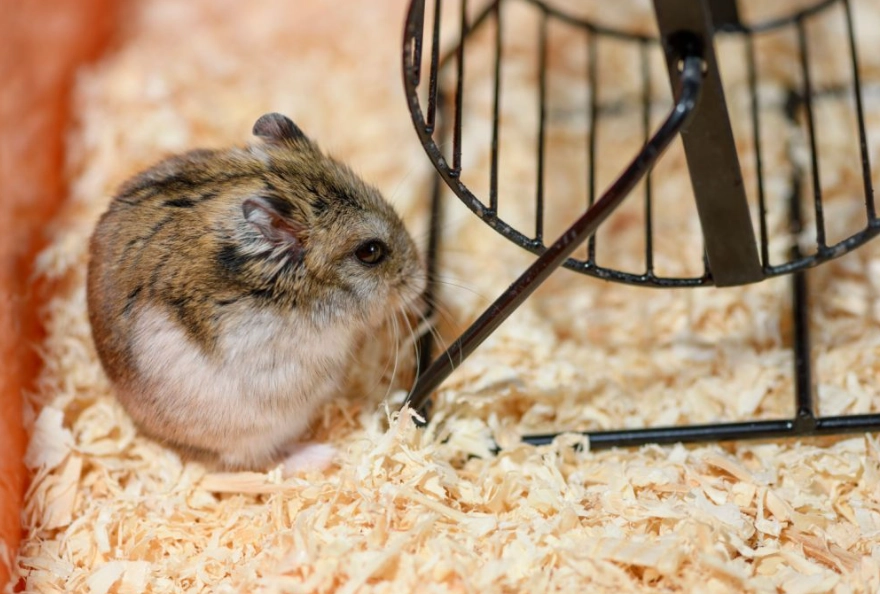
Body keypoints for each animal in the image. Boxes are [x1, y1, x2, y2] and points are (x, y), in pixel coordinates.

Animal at [87, 113, 425, 472]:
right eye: (370, 252)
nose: (420, 279)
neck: (299, 283)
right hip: (250, 429)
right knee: (263, 459)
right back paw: (323, 455)